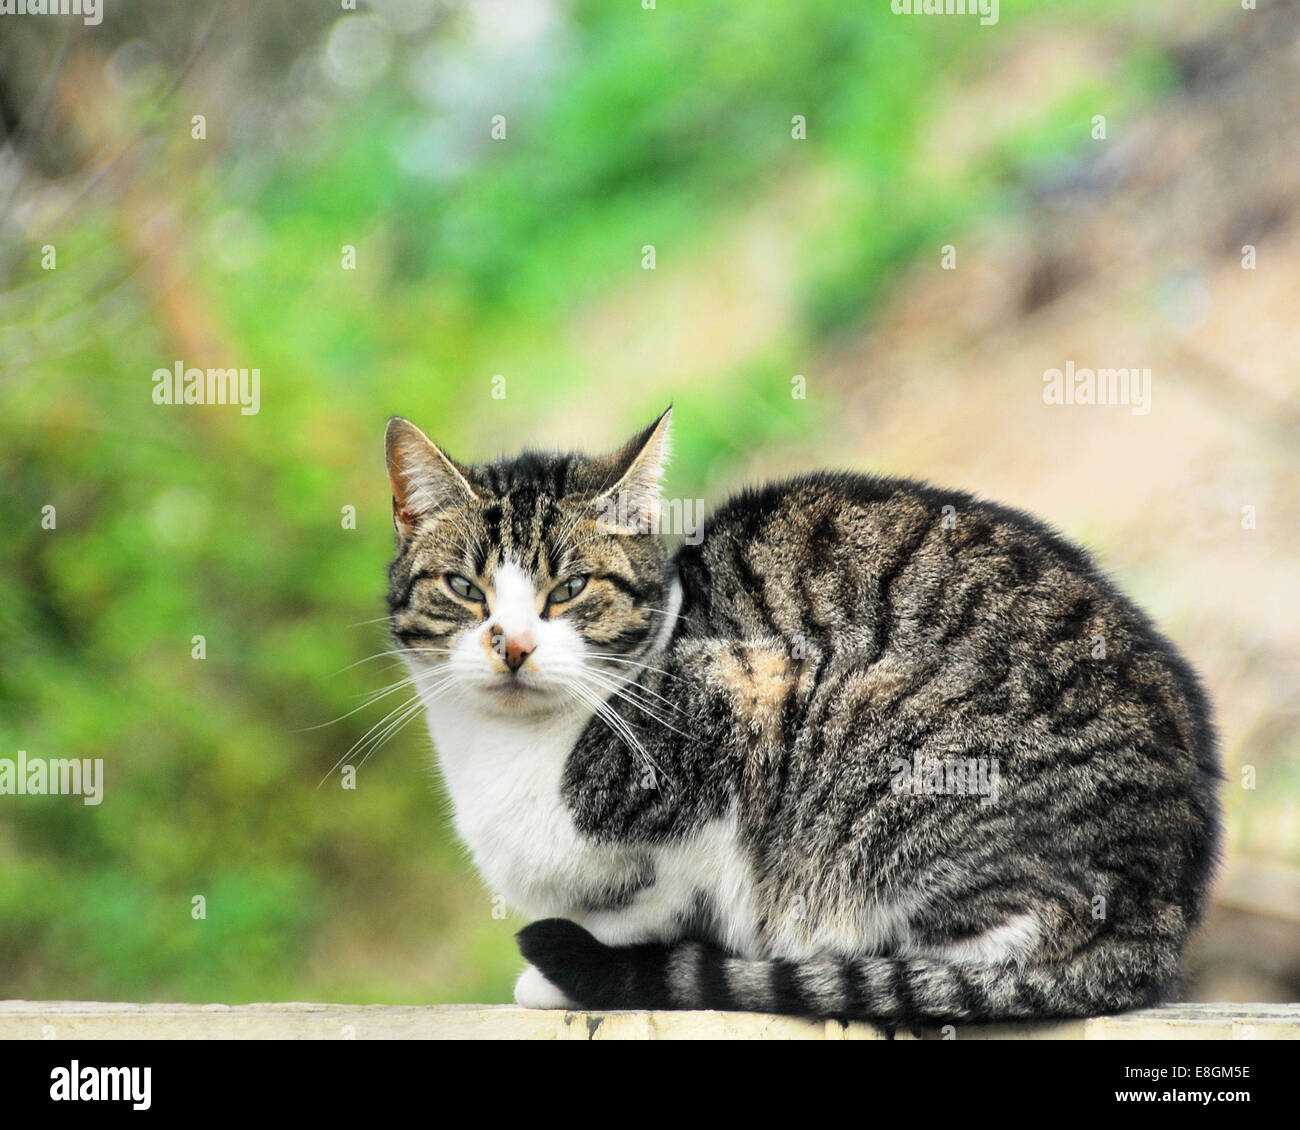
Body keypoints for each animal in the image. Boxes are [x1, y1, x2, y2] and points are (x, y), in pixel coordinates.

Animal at [382, 408, 1216, 1024]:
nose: (514, 646)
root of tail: (1161, 912)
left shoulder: (747, 698)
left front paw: (588, 963)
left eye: (569, 589)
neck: (513, 750)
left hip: (876, 737)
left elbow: (679, 893)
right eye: (464, 589)